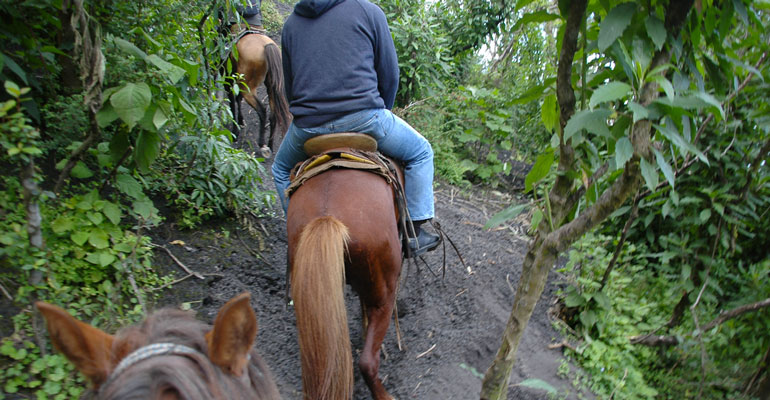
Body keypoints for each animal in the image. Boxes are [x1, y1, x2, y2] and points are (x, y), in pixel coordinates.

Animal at [228, 27, 292, 156]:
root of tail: (267, 45)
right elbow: (237, 99)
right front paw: (241, 121)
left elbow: (232, 101)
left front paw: (235, 131)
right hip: (270, 87)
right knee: (273, 115)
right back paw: (270, 145)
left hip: (247, 88)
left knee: (262, 110)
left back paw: (262, 144)